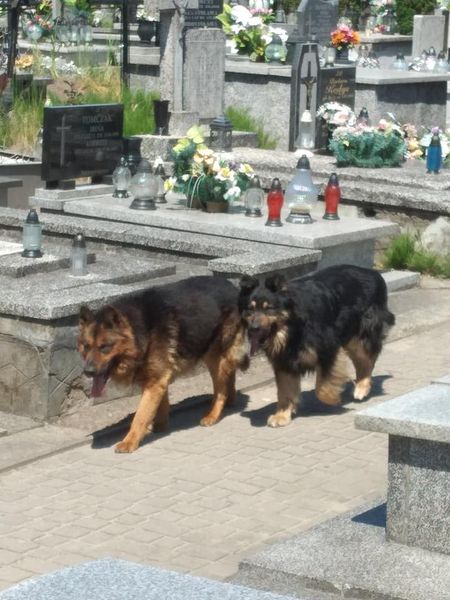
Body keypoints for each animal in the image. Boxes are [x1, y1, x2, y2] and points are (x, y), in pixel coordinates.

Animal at [77, 278, 246, 452]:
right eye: (86, 346)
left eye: (104, 347)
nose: (88, 372)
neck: (140, 330)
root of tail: (230, 285)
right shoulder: (158, 378)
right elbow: (160, 404)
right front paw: (160, 425)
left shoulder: (155, 382)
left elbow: (141, 415)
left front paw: (130, 441)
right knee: (229, 374)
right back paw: (230, 401)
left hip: (214, 357)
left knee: (221, 389)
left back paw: (213, 415)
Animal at [239, 266, 394, 426]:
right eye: (250, 309)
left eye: (268, 308)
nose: (253, 329)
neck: (292, 327)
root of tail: (373, 272)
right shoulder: (283, 361)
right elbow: (284, 389)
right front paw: (282, 415)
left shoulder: (328, 348)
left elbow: (321, 387)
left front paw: (332, 399)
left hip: (362, 332)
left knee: (367, 360)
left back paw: (362, 387)